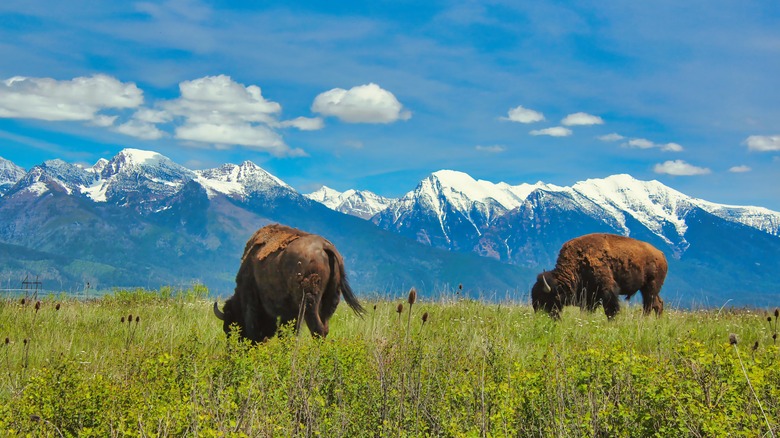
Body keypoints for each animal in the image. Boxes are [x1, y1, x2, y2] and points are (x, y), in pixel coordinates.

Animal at [214, 224, 365, 342]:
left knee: (317, 329)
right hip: (331, 299)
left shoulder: (251, 301)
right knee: (324, 327)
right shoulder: (289, 313)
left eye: (229, 327)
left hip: (309, 302)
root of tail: (325, 247)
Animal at [531, 233, 667, 319]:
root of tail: (661, 254)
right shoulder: (589, 296)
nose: (538, 314)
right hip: (647, 288)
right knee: (658, 304)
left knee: (649, 305)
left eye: (545, 298)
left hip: (650, 287)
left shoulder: (607, 290)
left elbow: (611, 309)